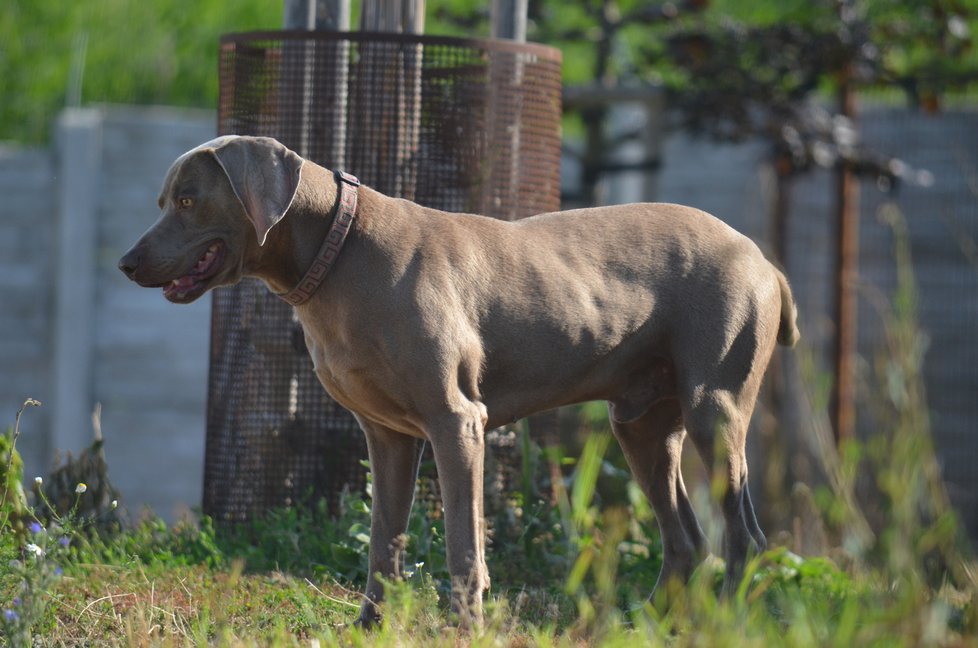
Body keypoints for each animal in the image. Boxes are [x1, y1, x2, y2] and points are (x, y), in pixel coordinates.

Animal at [120, 135, 792, 628]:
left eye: (188, 200)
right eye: (161, 200)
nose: (126, 263)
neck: (339, 252)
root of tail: (762, 257)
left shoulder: (458, 422)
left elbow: (463, 546)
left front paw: (467, 628)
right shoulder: (388, 437)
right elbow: (384, 542)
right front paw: (370, 628)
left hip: (714, 410)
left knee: (745, 538)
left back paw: (728, 624)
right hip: (642, 426)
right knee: (687, 540)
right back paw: (648, 625)